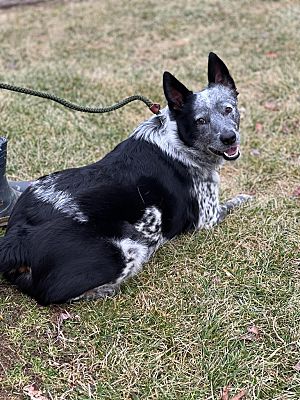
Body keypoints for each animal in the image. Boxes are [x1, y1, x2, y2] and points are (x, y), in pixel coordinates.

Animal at [0, 51, 251, 304]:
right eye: (201, 120)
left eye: (228, 109)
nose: (229, 138)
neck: (179, 139)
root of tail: (16, 239)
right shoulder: (208, 218)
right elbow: (234, 202)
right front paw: (246, 198)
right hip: (128, 248)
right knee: (54, 294)